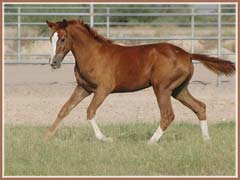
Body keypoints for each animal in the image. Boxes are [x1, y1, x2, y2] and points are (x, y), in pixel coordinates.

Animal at [45, 19, 234, 144]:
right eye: (50, 38)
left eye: (62, 39)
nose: (53, 63)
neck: (93, 55)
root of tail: (187, 54)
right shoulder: (83, 88)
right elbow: (64, 109)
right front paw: (47, 136)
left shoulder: (103, 89)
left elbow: (90, 111)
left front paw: (105, 138)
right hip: (179, 90)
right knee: (199, 107)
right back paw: (206, 140)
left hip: (162, 88)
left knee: (168, 115)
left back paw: (150, 142)